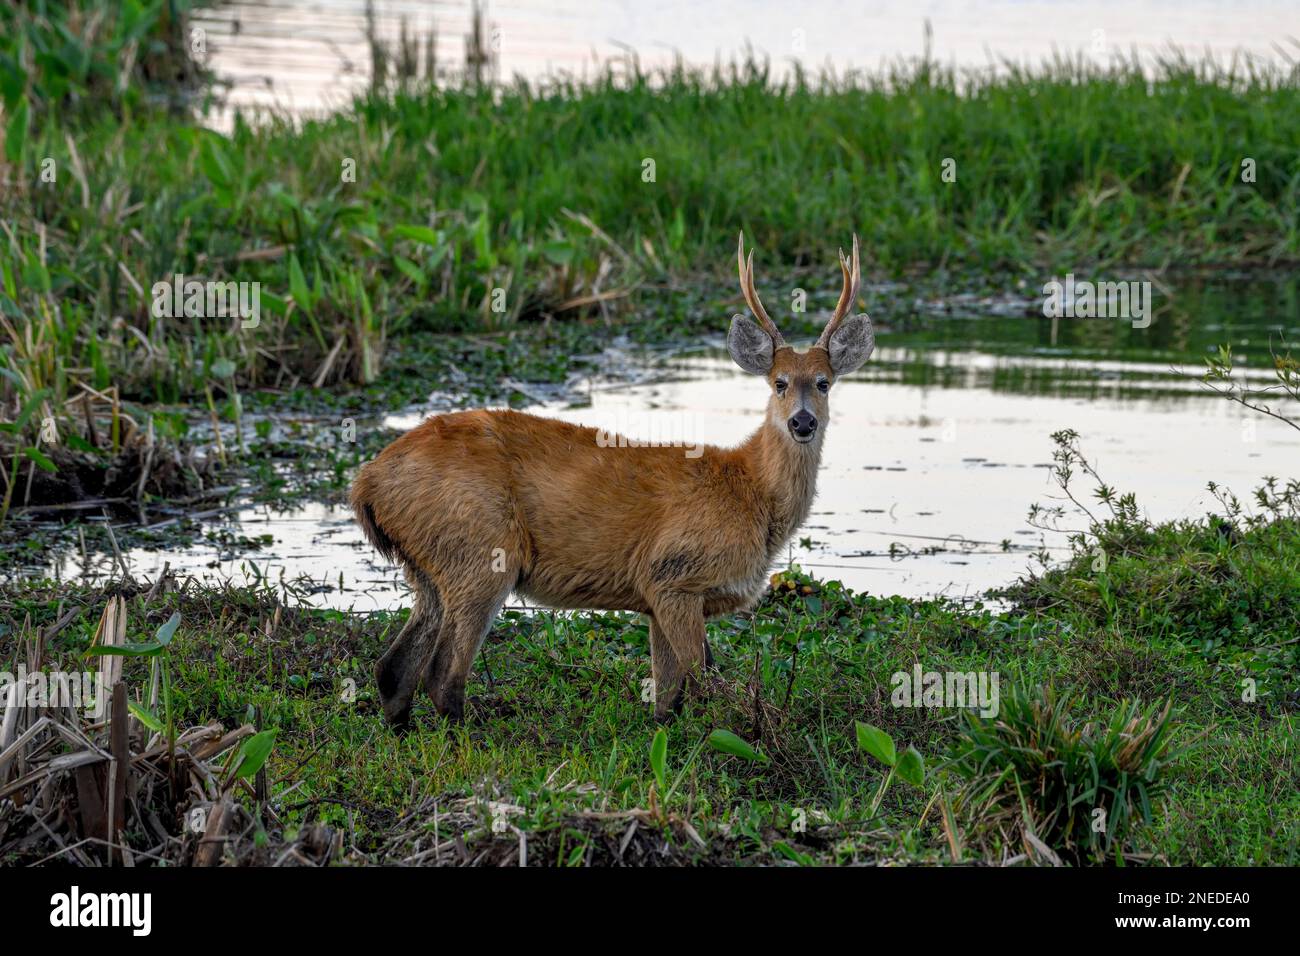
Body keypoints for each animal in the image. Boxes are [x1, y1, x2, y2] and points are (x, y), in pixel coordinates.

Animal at [351, 231, 878, 723]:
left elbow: (667, 701)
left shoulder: (656, 597)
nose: (802, 422)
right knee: (442, 674)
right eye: (779, 383)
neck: (751, 492)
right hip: (480, 550)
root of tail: (367, 481)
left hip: (430, 565)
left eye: (824, 383)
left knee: (393, 669)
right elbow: (703, 681)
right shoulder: (672, 575)